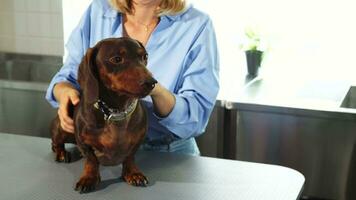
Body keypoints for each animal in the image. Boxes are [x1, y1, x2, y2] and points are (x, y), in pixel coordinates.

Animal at [50, 37, 157, 192]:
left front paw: (133, 173)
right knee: (56, 143)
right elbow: (91, 160)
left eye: (145, 56)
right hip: (61, 128)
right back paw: (61, 153)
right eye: (117, 59)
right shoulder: (83, 141)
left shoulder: (138, 139)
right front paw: (89, 178)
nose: (152, 83)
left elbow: (130, 157)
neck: (116, 112)